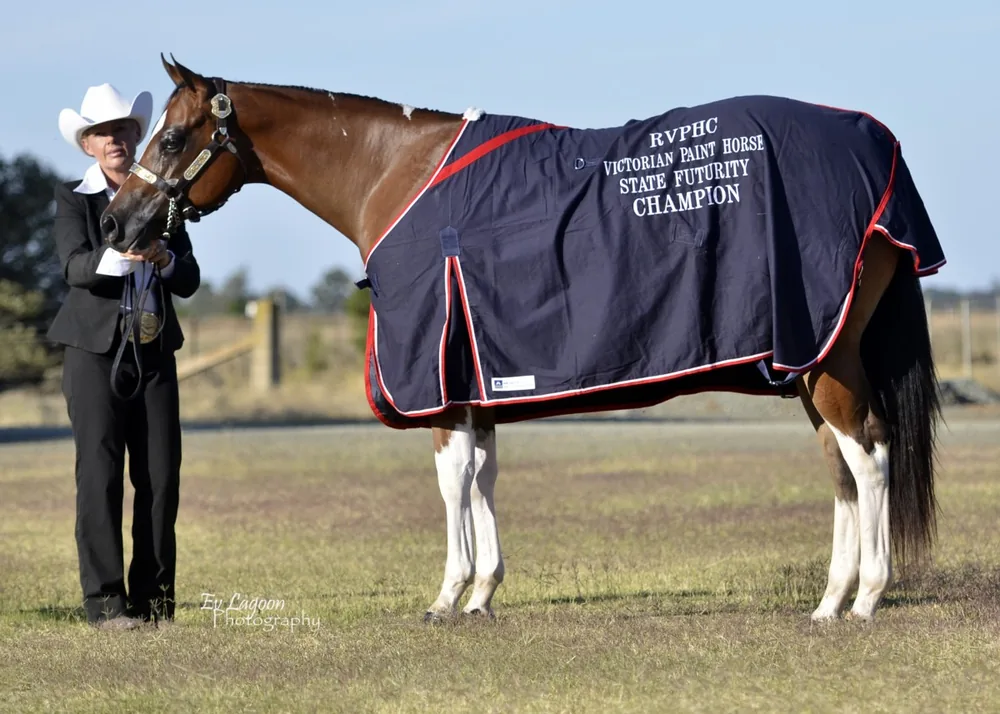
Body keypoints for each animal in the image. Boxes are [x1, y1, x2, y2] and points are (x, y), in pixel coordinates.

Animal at [102, 55, 945, 623]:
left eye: (172, 138)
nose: (115, 221)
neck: (395, 176)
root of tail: (876, 150)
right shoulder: (475, 377)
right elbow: (484, 478)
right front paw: (482, 594)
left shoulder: (437, 378)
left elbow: (452, 481)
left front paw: (447, 596)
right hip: (808, 359)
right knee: (841, 466)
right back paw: (830, 600)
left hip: (829, 359)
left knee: (868, 454)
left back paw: (867, 598)